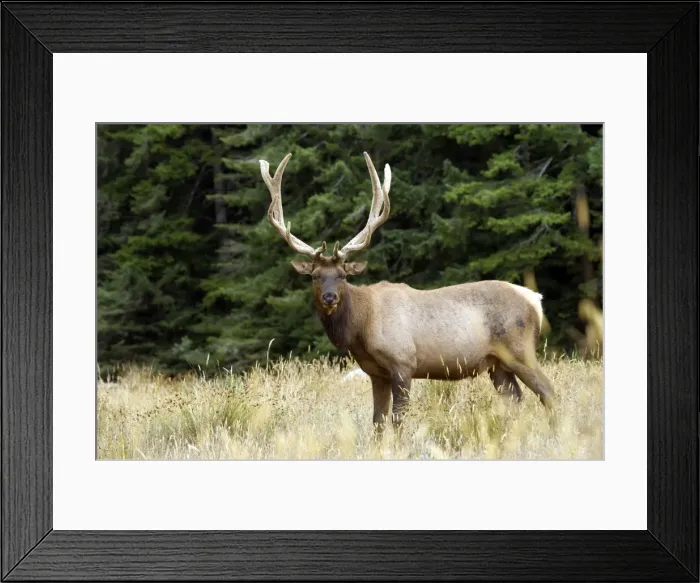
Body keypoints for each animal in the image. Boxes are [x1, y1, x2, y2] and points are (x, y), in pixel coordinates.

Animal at [259, 152, 556, 434]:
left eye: (343, 275)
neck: (362, 326)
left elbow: (398, 419)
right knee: (515, 398)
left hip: (520, 349)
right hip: (497, 363)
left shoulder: (403, 362)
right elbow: (378, 422)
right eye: (315, 276)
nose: (329, 297)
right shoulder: (375, 372)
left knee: (548, 391)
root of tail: (536, 300)